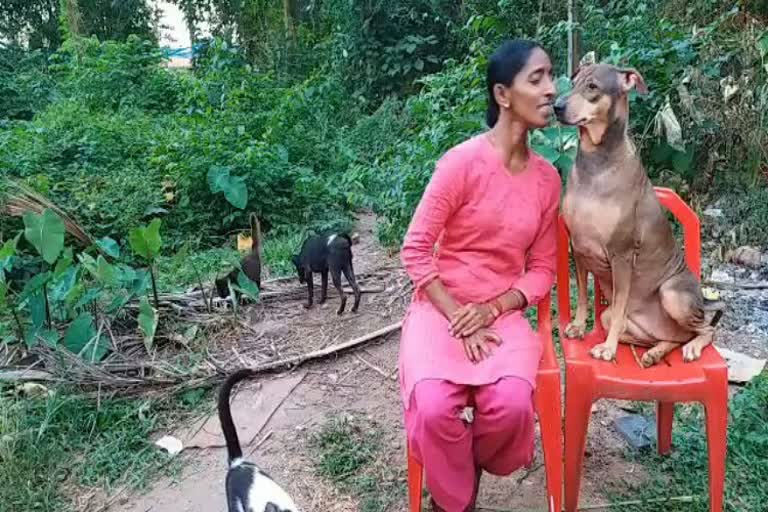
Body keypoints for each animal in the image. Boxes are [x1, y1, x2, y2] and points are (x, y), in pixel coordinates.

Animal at [556, 64, 724, 366]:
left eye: (593, 86)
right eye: (573, 83)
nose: (556, 107)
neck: (596, 163)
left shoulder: (621, 255)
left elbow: (620, 304)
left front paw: (607, 349)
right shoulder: (579, 247)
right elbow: (584, 297)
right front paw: (577, 325)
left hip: (672, 293)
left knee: (705, 328)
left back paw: (692, 347)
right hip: (620, 320)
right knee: (666, 336)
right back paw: (654, 353)